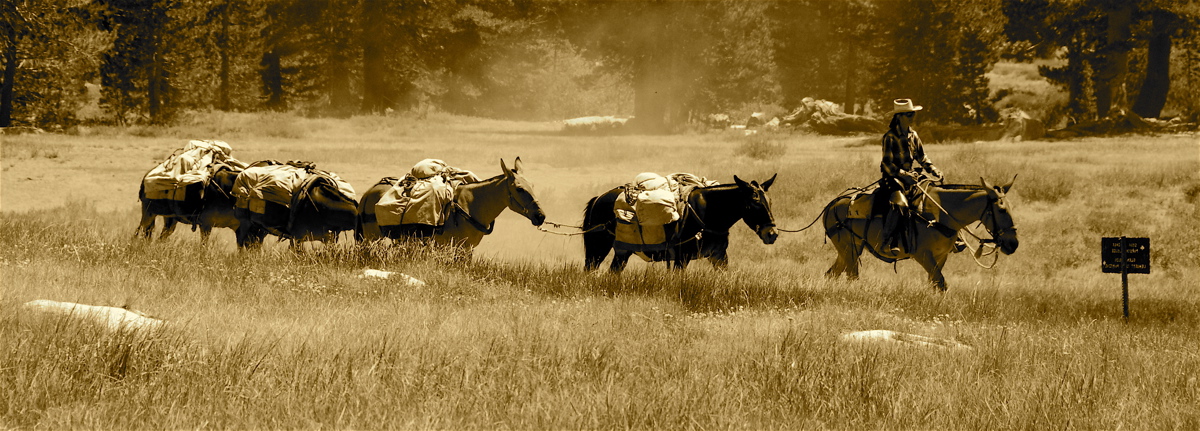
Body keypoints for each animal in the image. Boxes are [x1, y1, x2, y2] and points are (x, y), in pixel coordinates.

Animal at [352, 159, 547, 258]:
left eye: (532, 185)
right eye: (520, 189)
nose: (541, 216)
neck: (472, 205)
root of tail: (369, 191)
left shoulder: (467, 248)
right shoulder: (453, 246)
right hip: (371, 237)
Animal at [580, 174, 777, 271]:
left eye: (770, 202)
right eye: (754, 203)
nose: (772, 234)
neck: (708, 212)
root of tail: (598, 198)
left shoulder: (719, 256)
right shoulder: (682, 257)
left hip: (622, 251)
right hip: (597, 248)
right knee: (590, 269)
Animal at [825, 177, 1022, 291]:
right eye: (1002, 209)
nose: (1013, 244)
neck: (941, 214)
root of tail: (831, 205)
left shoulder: (941, 256)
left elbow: (934, 283)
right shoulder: (923, 255)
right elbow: (940, 283)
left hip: (845, 251)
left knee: (832, 274)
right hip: (851, 249)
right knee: (851, 276)